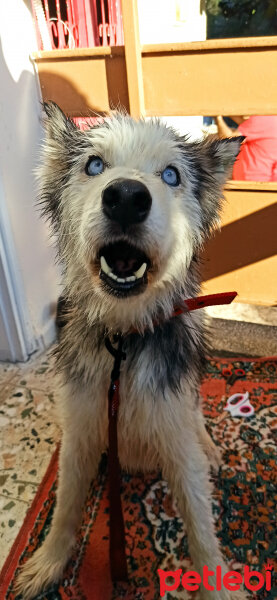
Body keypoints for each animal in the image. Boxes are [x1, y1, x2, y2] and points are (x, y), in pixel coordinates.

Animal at [15, 104, 244, 600]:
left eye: (172, 175)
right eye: (94, 165)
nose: (125, 197)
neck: (124, 339)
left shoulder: (177, 442)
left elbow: (199, 522)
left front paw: (215, 583)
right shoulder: (80, 430)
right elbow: (64, 507)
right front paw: (48, 563)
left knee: (198, 414)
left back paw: (211, 447)